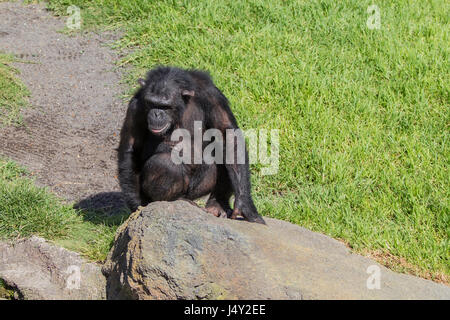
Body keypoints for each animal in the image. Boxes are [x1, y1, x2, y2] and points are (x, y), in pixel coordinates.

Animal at [118, 66, 266, 224]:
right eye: (151, 103)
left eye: (165, 106)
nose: (156, 113)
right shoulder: (136, 106)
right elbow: (131, 148)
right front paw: (137, 206)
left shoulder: (212, 96)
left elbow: (228, 134)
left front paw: (245, 205)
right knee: (166, 163)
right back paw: (175, 200)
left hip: (198, 188)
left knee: (221, 150)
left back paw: (218, 205)